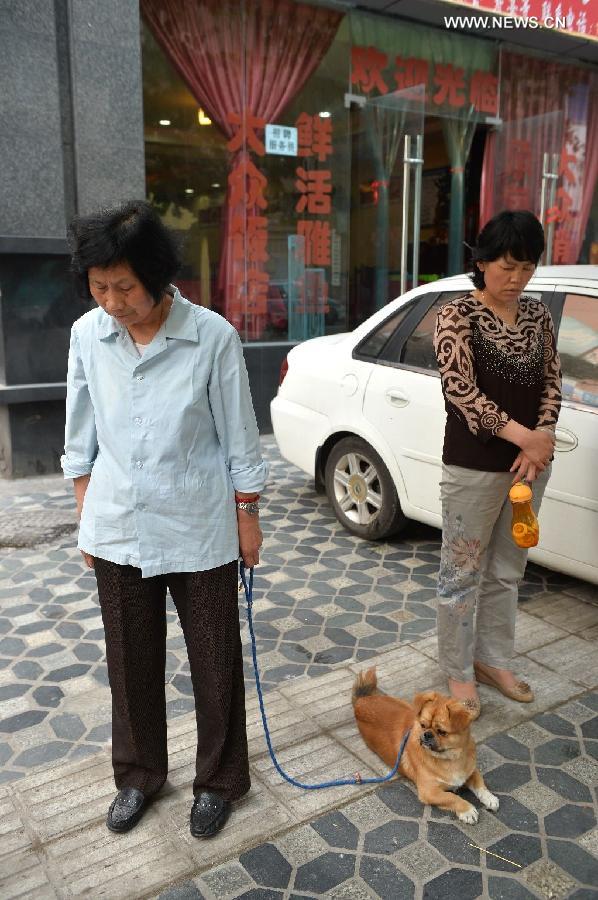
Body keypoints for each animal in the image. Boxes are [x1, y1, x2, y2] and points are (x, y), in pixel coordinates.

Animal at [354, 668, 500, 824]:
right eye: (423, 725)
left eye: (442, 732)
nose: (427, 734)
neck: (449, 757)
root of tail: (361, 701)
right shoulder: (430, 792)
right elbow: (452, 797)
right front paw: (467, 810)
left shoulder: (471, 772)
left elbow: (480, 784)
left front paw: (489, 798)